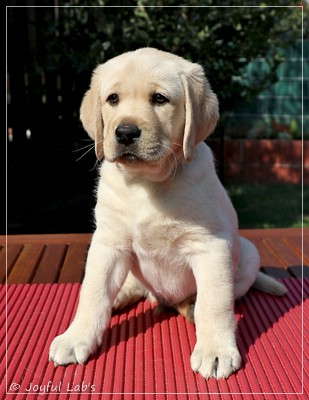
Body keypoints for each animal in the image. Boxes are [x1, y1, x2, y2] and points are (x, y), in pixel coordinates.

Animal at [48, 47, 286, 378]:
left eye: (159, 99)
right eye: (112, 99)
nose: (125, 132)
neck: (145, 183)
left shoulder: (212, 246)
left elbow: (215, 303)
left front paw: (215, 350)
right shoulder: (108, 242)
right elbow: (93, 293)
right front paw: (76, 337)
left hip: (248, 252)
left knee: (208, 297)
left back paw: (191, 308)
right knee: (131, 286)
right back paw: (121, 295)